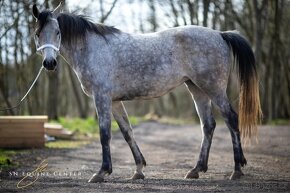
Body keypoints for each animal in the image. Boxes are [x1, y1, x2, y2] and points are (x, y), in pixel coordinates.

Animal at [32, 4, 262, 182]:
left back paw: (237, 170)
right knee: (208, 125)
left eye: (58, 32)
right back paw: (196, 169)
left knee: (231, 119)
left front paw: (101, 172)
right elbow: (127, 132)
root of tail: (221, 34)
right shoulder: (114, 101)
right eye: (37, 34)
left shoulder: (102, 98)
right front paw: (138, 170)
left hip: (214, 88)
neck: (91, 49)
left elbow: (104, 133)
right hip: (197, 88)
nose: (49, 63)